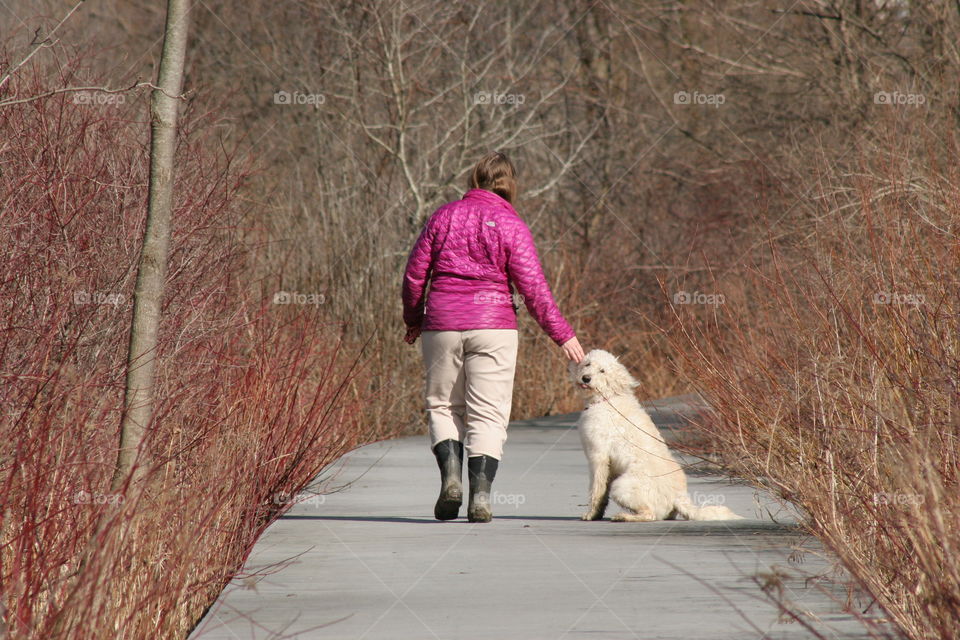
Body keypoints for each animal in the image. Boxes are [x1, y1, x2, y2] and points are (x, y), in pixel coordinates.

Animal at [568, 352, 744, 524]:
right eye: (587, 364)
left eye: (602, 371)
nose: (586, 378)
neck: (607, 399)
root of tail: (678, 497)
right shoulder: (608, 465)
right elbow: (602, 494)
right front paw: (597, 514)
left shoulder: (598, 457)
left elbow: (596, 490)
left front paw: (590, 514)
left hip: (622, 486)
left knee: (649, 514)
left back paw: (624, 517)